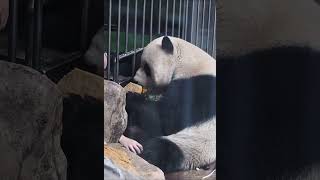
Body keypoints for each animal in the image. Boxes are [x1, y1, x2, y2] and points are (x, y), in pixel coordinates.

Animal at [124, 35, 215, 173]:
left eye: (147, 69)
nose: (135, 80)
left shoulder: (198, 86)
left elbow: (166, 119)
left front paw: (130, 97)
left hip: (195, 146)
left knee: (162, 149)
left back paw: (137, 139)